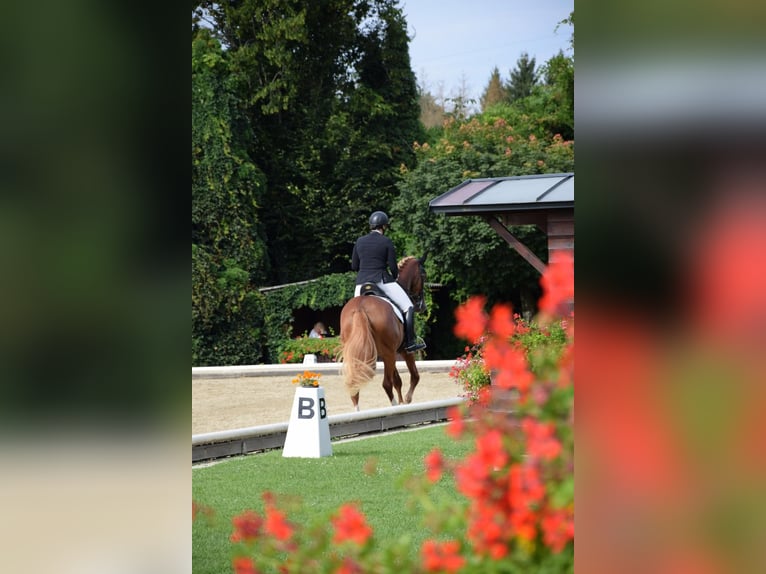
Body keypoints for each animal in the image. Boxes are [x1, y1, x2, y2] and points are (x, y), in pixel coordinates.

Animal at [340, 254, 428, 412]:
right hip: (389, 354)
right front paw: (406, 400)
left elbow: (397, 380)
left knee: (355, 382)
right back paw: (393, 407)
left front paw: (402, 401)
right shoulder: (403, 351)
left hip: (362, 353)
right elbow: (414, 376)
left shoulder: (390, 353)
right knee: (386, 384)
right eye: (423, 275)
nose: (422, 306)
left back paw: (357, 411)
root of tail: (361, 308)